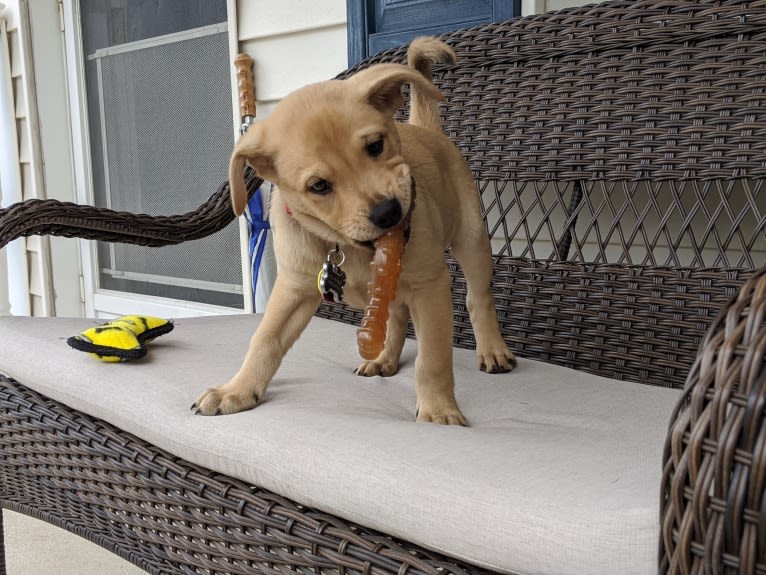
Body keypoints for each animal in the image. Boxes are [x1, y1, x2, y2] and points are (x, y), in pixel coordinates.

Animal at [192, 36, 516, 424]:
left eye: (375, 145)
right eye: (318, 186)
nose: (388, 212)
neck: (351, 248)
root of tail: (425, 129)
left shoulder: (430, 286)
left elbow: (433, 357)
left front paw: (439, 410)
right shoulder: (294, 287)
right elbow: (265, 340)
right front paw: (237, 390)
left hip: (472, 239)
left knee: (478, 297)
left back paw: (492, 350)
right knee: (395, 317)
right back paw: (383, 359)